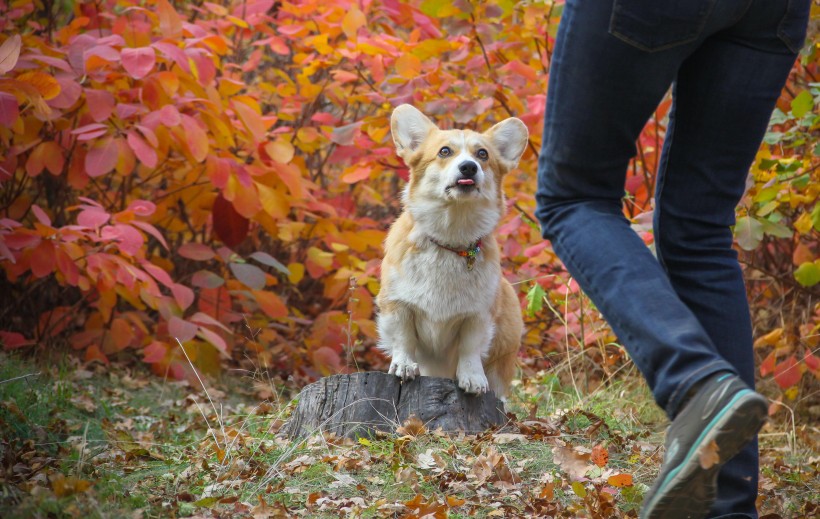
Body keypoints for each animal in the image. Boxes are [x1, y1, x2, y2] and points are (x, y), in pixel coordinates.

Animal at [376, 104, 528, 398]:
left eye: (483, 154)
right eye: (445, 151)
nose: (468, 166)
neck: (451, 237)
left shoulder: (477, 316)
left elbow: (470, 349)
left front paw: (472, 379)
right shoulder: (397, 305)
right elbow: (403, 338)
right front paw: (403, 365)